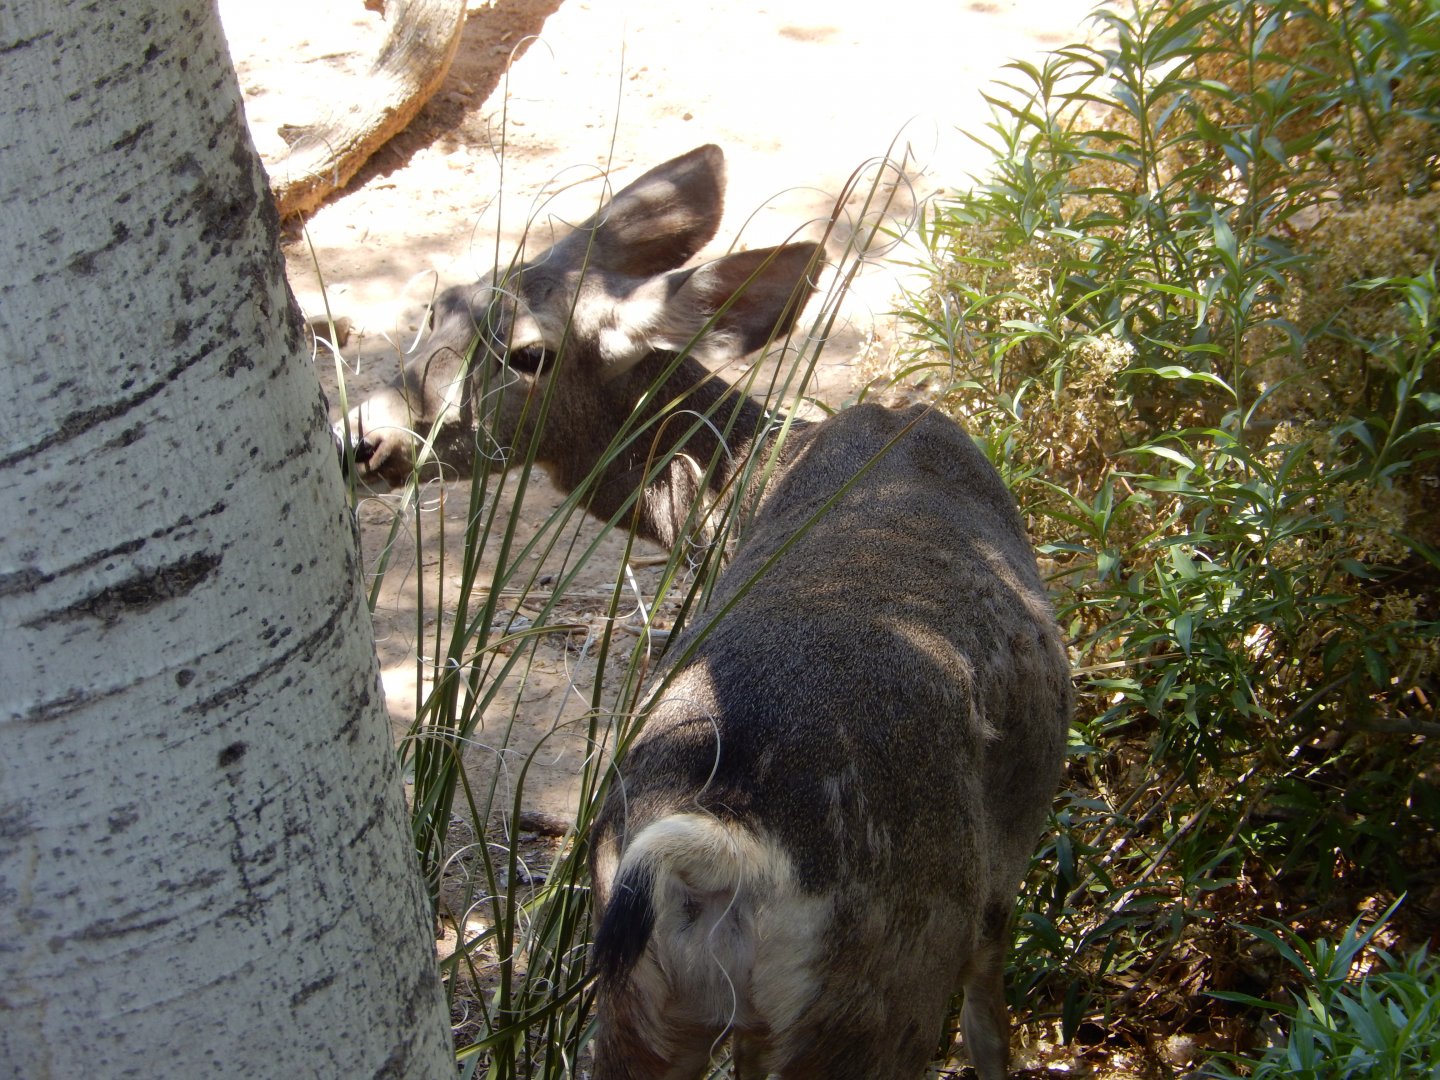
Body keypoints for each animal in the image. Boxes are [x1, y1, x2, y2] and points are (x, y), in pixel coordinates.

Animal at [339, 145, 1072, 1079]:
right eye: (436, 309)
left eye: (528, 353)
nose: (365, 440)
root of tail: (722, 851)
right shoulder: (1005, 870)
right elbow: (989, 1020)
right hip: (880, 996)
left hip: (637, 1004)